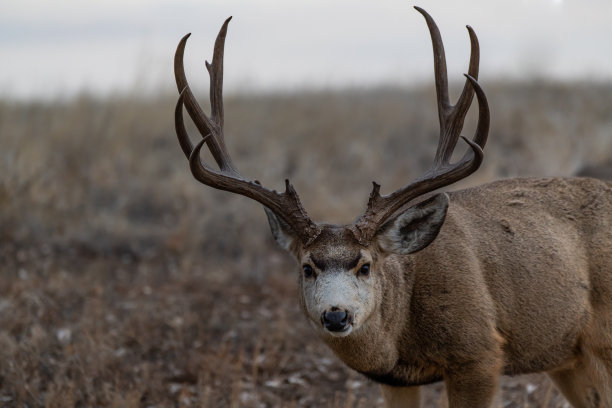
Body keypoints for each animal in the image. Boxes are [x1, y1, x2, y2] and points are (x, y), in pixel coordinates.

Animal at [172, 7, 612, 408]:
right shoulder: (394, 379)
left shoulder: (480, 354)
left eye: (365, 265)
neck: (403, 331)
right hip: (567, 358)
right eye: (307, 267)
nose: (336, 316)